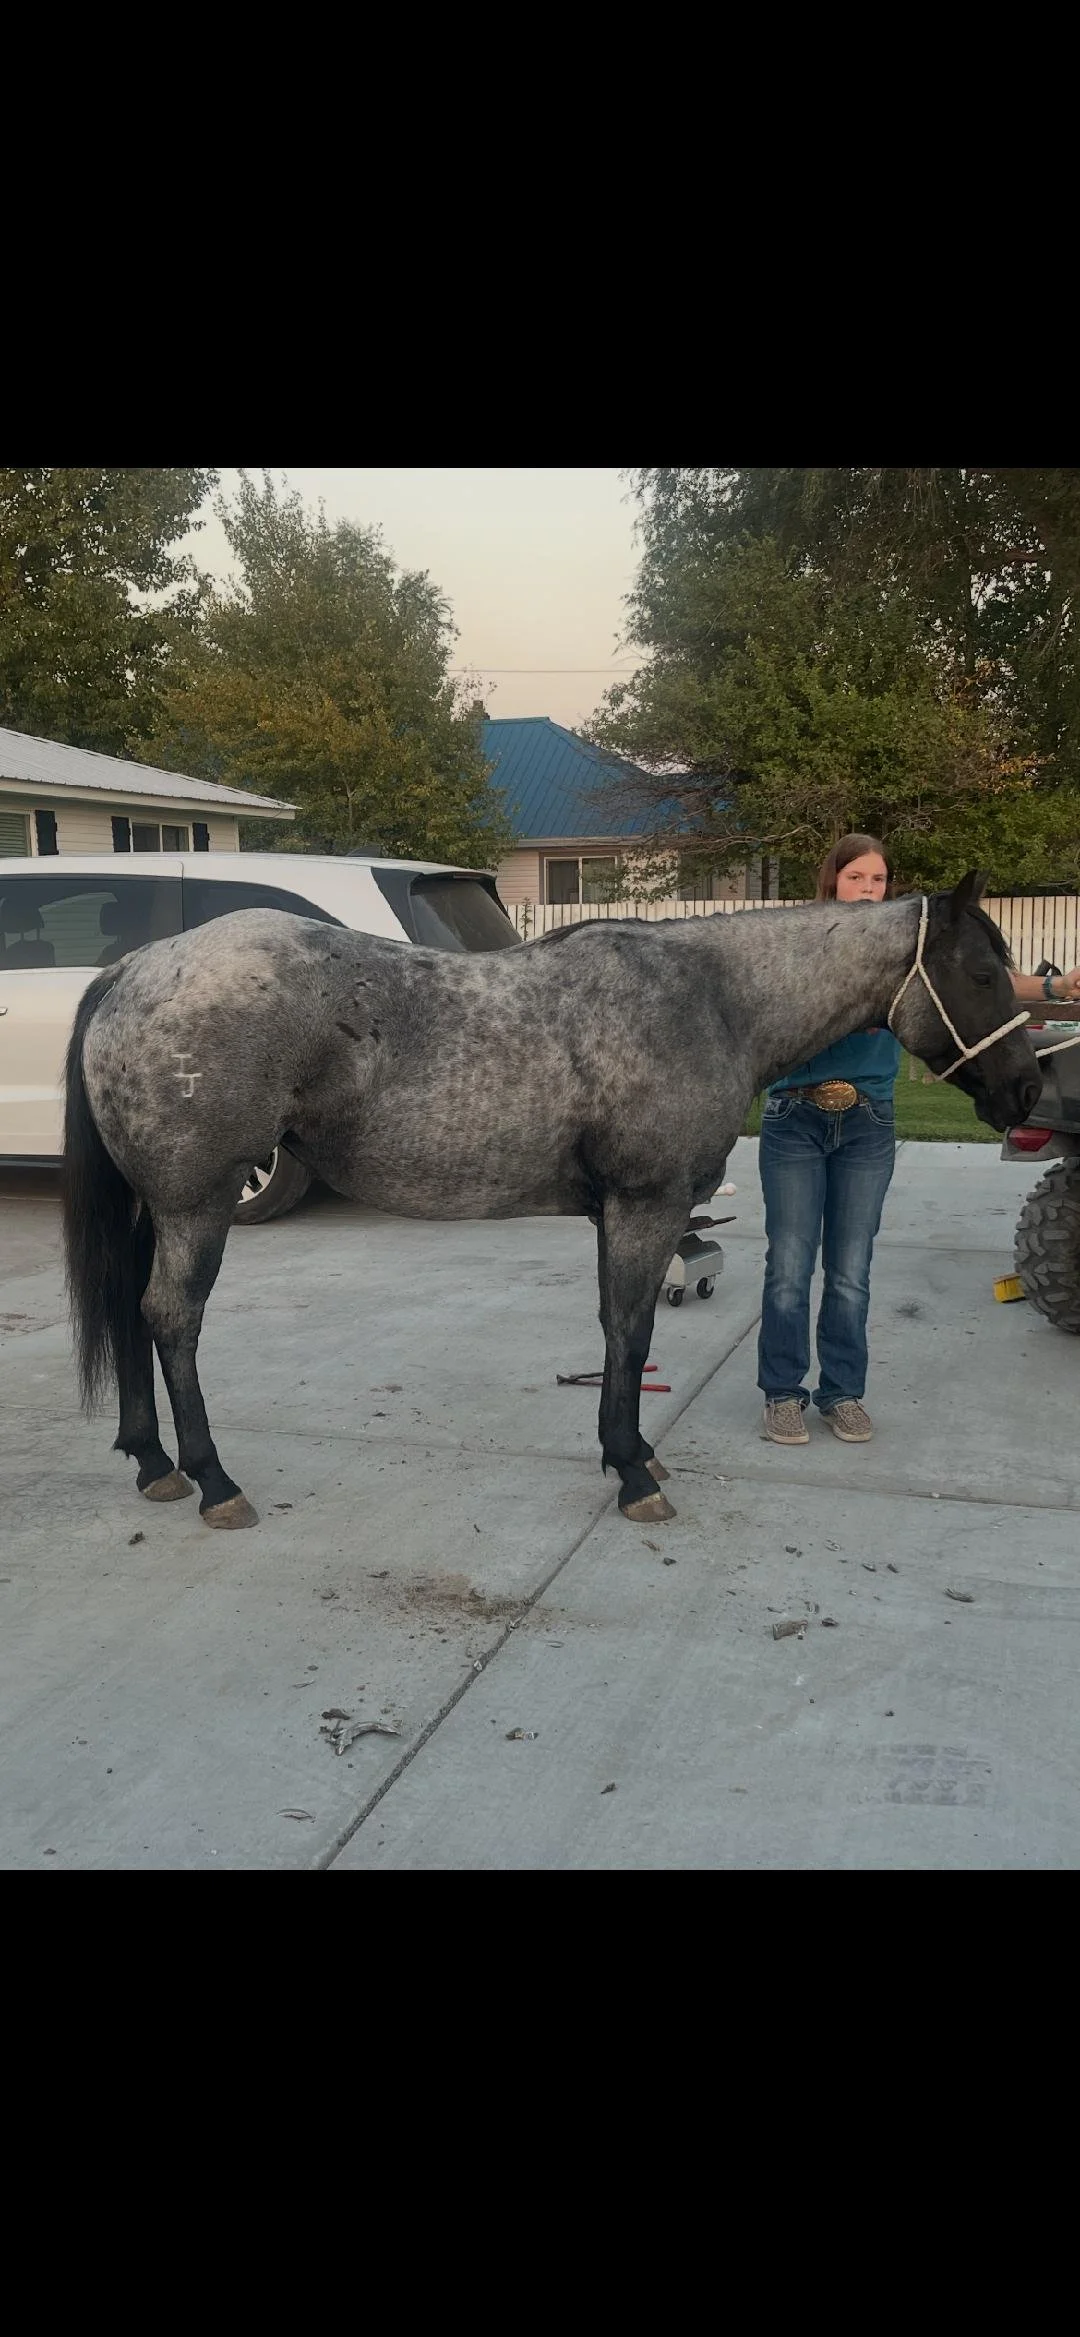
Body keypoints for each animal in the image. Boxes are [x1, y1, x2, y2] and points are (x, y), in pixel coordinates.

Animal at [62, 872, 1040, 1533]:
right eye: (982, 972)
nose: (1027, 1090)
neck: (714, 999)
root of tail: (137, 967)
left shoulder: (624, 1215)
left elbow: (620, 1331)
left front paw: (632, 1452)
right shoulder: (646, 1206)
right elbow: (630, 1334)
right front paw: (635, 1473)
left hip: (158, 1208)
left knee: (133, 1309)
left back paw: (153, 1462)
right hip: (197, 1204)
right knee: (171, 1317)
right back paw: (214, 1481)